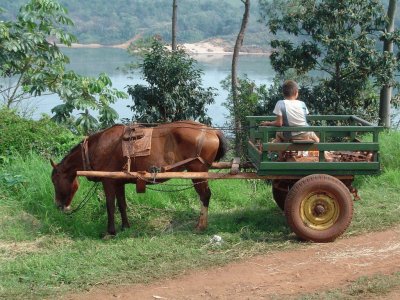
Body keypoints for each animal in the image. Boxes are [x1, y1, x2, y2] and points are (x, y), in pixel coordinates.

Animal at [49, 120, 228, 236]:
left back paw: (201, 225)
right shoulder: (118, 182)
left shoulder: (108, 181)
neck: (96, 148)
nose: (58, 205)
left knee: (205, 195)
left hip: (197, 170)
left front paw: (110, 231)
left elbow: (110, 206)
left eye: (54, 180)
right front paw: (125, 226)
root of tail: (211, 131)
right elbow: (121, 205)